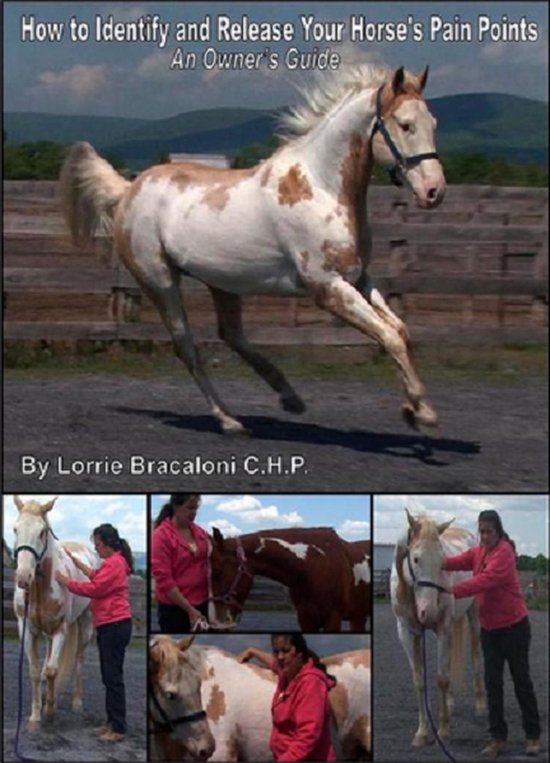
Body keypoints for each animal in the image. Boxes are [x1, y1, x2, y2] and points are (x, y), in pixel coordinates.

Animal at [12, 495, 97, 729]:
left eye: (42, 532)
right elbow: (34, 671)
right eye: (15, 529)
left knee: (78, 659)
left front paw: (49, 711)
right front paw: (35, 715)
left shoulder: (61, 629)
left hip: (85, 624)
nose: (23, 578)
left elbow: (52, 670)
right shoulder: (27, 629)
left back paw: (76, 702)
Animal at [59, 63, 445, 435]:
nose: (434, 191)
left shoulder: (359, 277)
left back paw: (289, 397)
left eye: (433, 123)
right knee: (187, 347)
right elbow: (389, 337)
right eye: (405, 124)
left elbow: (400, 330)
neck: (320, 187)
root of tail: (128, 190)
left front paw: (415, 409)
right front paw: (422, 412)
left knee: (231, 336)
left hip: (223, 283)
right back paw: (230, 421)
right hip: (159, 282)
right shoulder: (327, 287)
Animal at [390, 509, 486, 747]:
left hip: (473, 618)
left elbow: (441, 679)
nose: (429, 612)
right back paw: (450, 704)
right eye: (416, 559)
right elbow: (419, 681)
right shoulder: (408, 633)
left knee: (475, 656)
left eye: (442, 561)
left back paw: (480, 706)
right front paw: (422, 733)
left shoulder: (442, 628)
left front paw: (442, 730)